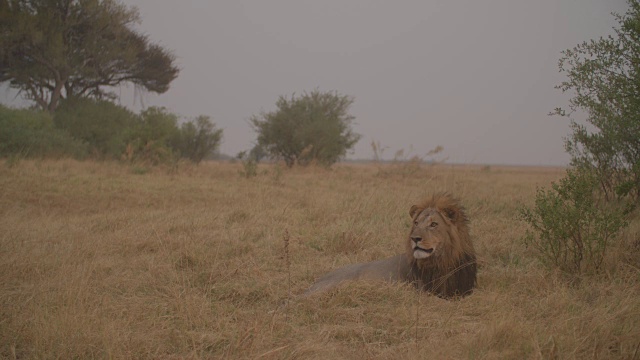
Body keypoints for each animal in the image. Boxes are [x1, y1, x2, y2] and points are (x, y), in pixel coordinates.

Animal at [304, 194, 476, 298]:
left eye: (433, 224)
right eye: (416, 223)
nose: (415, 238)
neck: (444, 260)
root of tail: (317, 280)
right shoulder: (423, 291)